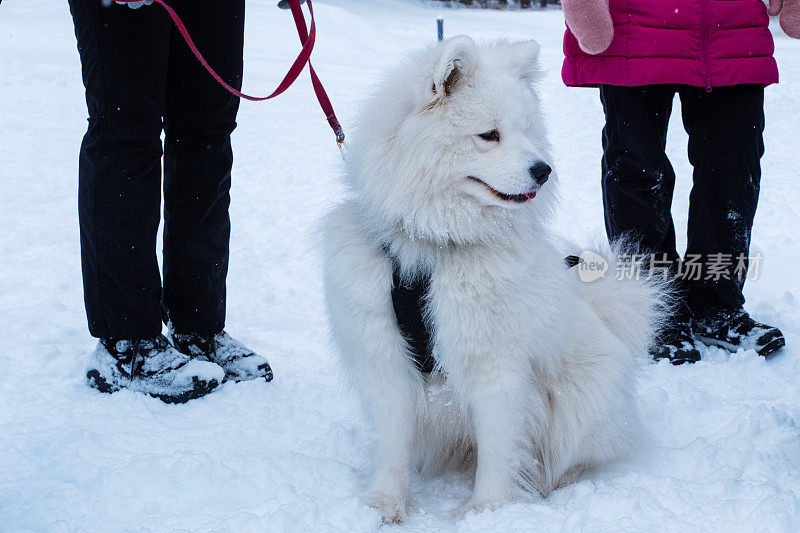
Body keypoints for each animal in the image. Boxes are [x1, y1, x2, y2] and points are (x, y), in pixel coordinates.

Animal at [322, 37, 664, 524]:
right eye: (489, 135)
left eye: (525, 131)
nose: (544, 169)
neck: (435, 248)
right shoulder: (385, 356)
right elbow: (393, 441)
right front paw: (385, 504)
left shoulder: (496, 362)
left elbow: (500, 446)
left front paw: (487, 509)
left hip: (585, 395)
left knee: (577, 455)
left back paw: (555, 485)